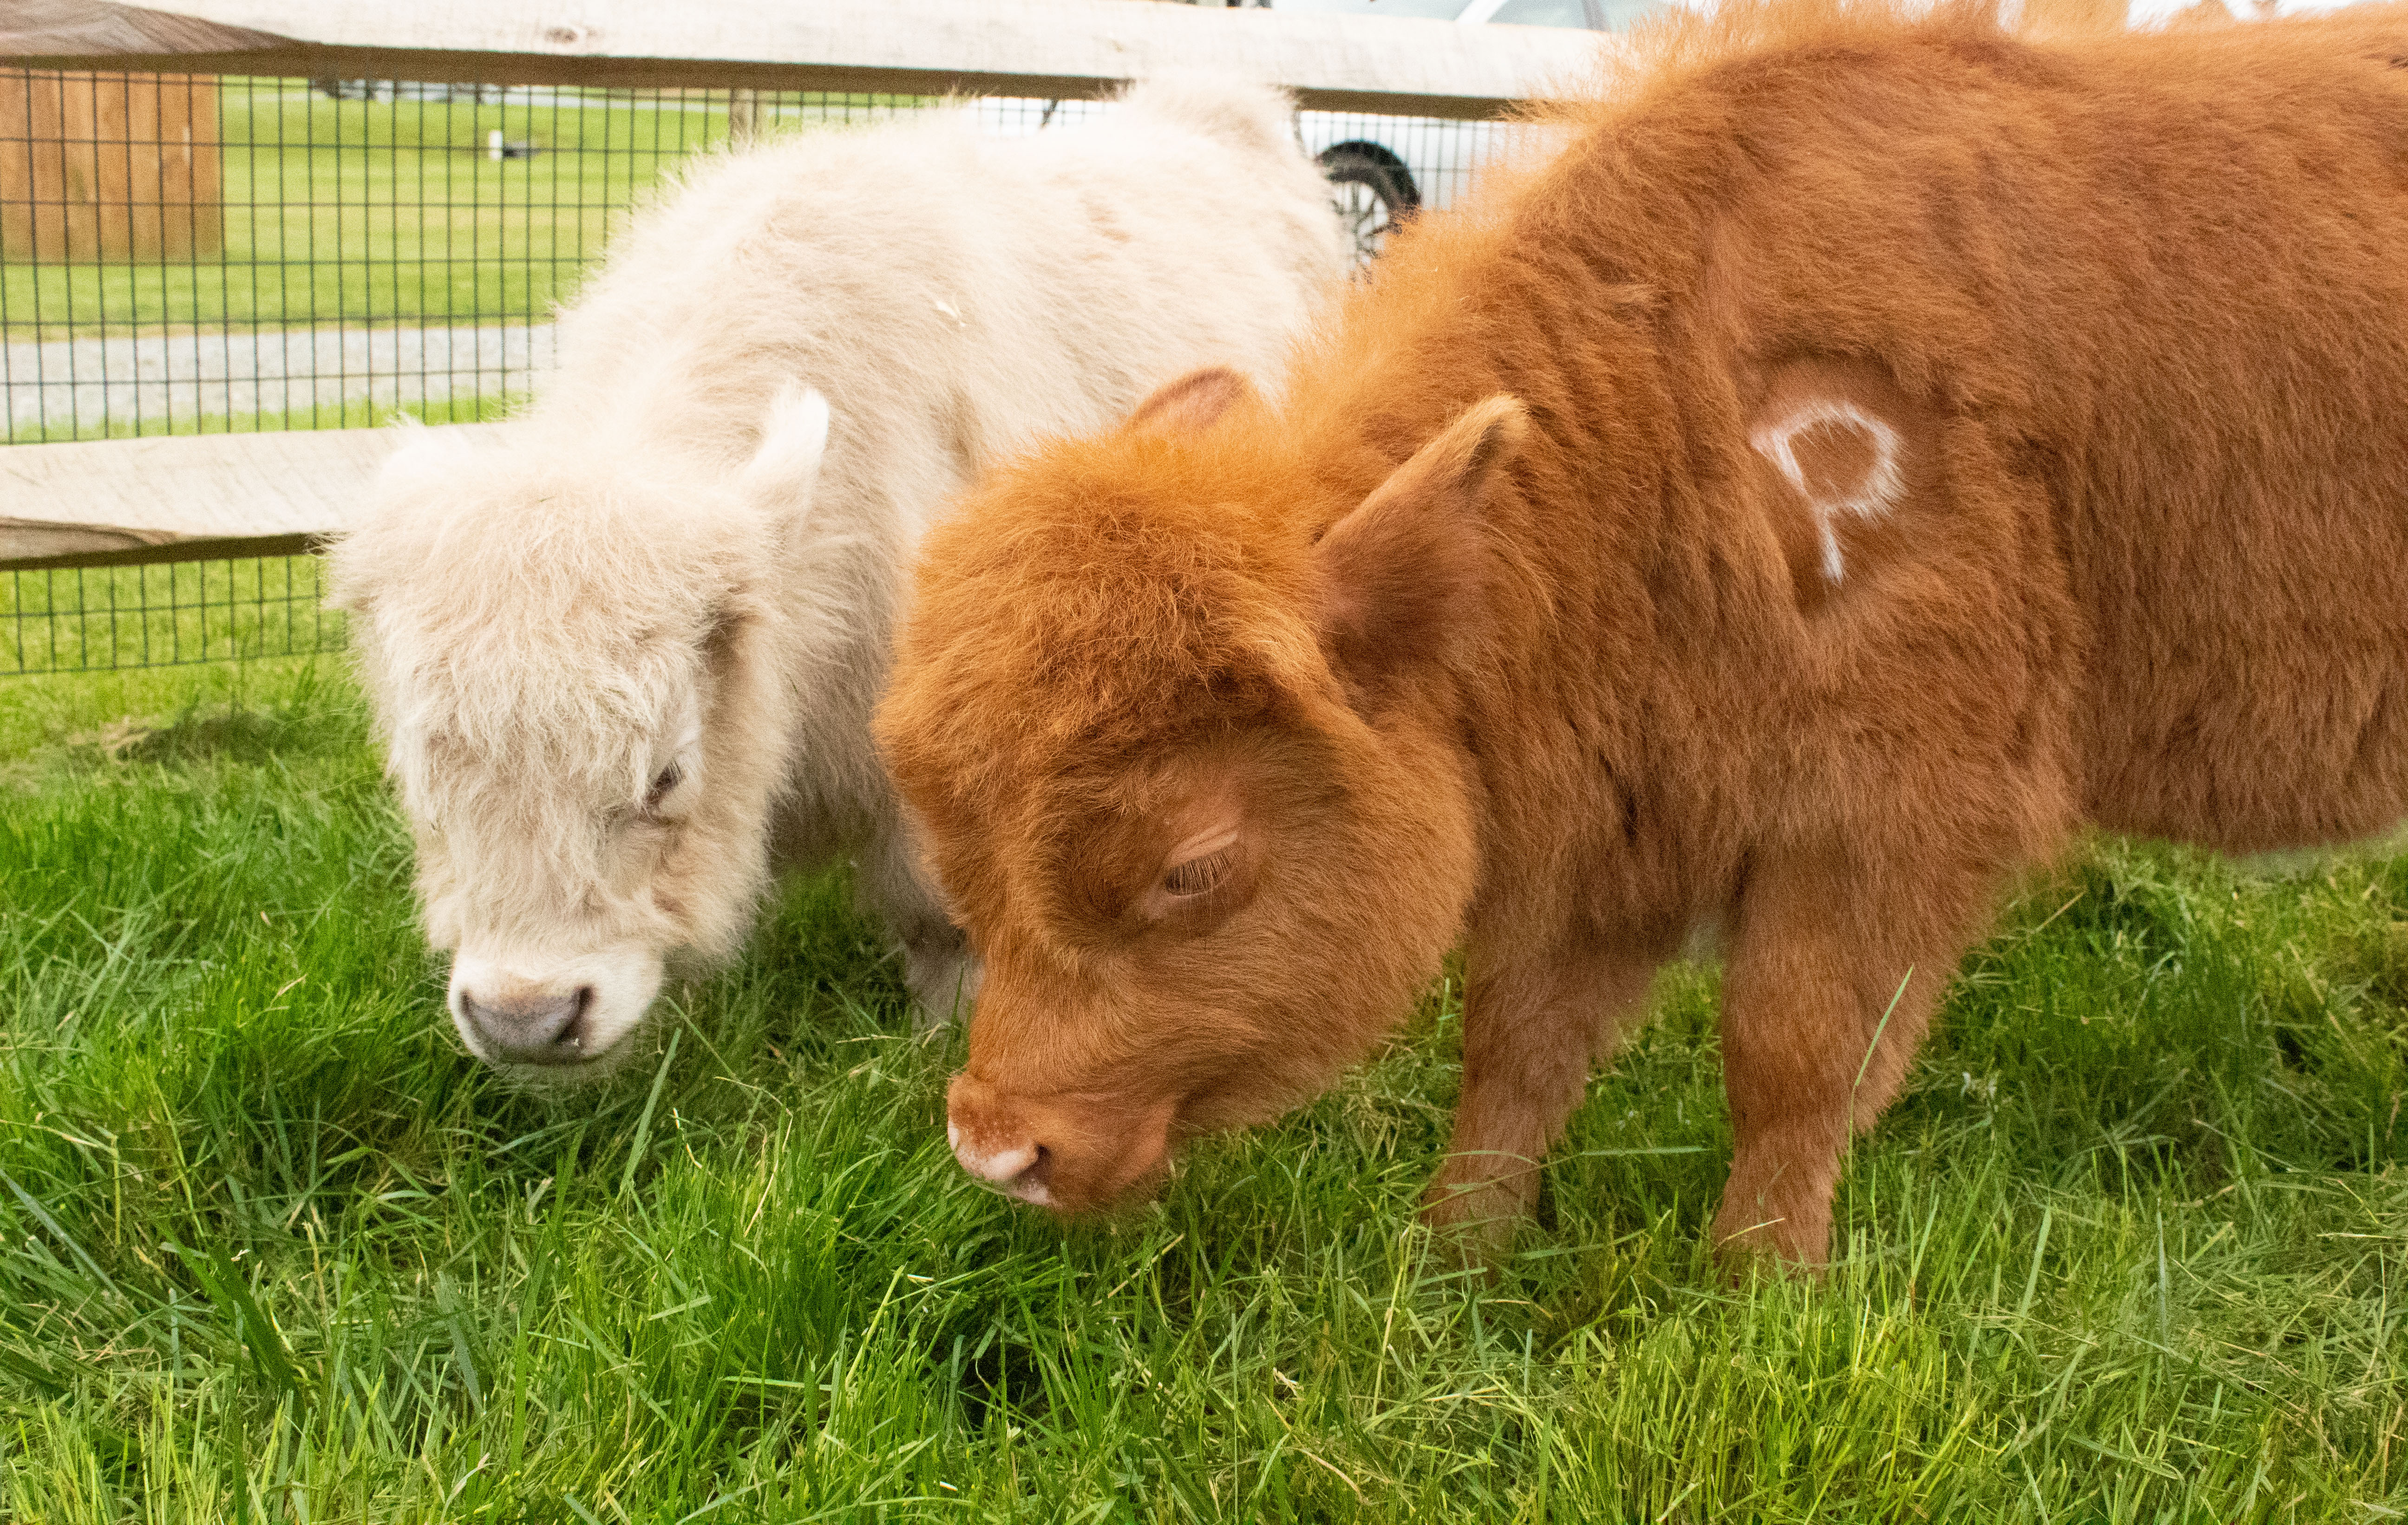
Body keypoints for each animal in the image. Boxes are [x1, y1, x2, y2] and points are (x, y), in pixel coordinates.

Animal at [876, 0, 2408, 1262]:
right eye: (968, 861)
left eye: (1194, 863)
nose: (997, 1144)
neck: (1678, 410)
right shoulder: (1625, 799)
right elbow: (1519, 1048)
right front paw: (1450, 1260)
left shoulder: (1885, 818)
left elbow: (1794, 1060)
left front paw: (1758, 1288)